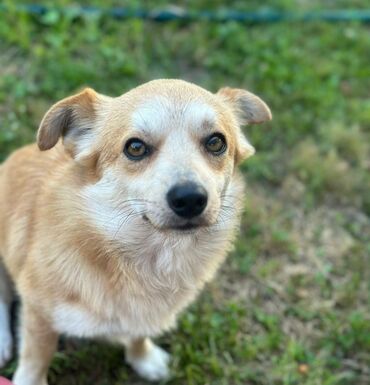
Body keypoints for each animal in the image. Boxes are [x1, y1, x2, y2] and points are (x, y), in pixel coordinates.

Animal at [0, 79, 272, 382]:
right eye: (135, 147)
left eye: (216, 142)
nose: (190, 198)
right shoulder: (38, 312)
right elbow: (37, 357)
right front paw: (29, 380)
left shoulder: (143, 316)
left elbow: (138, 334)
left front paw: (143, 358)